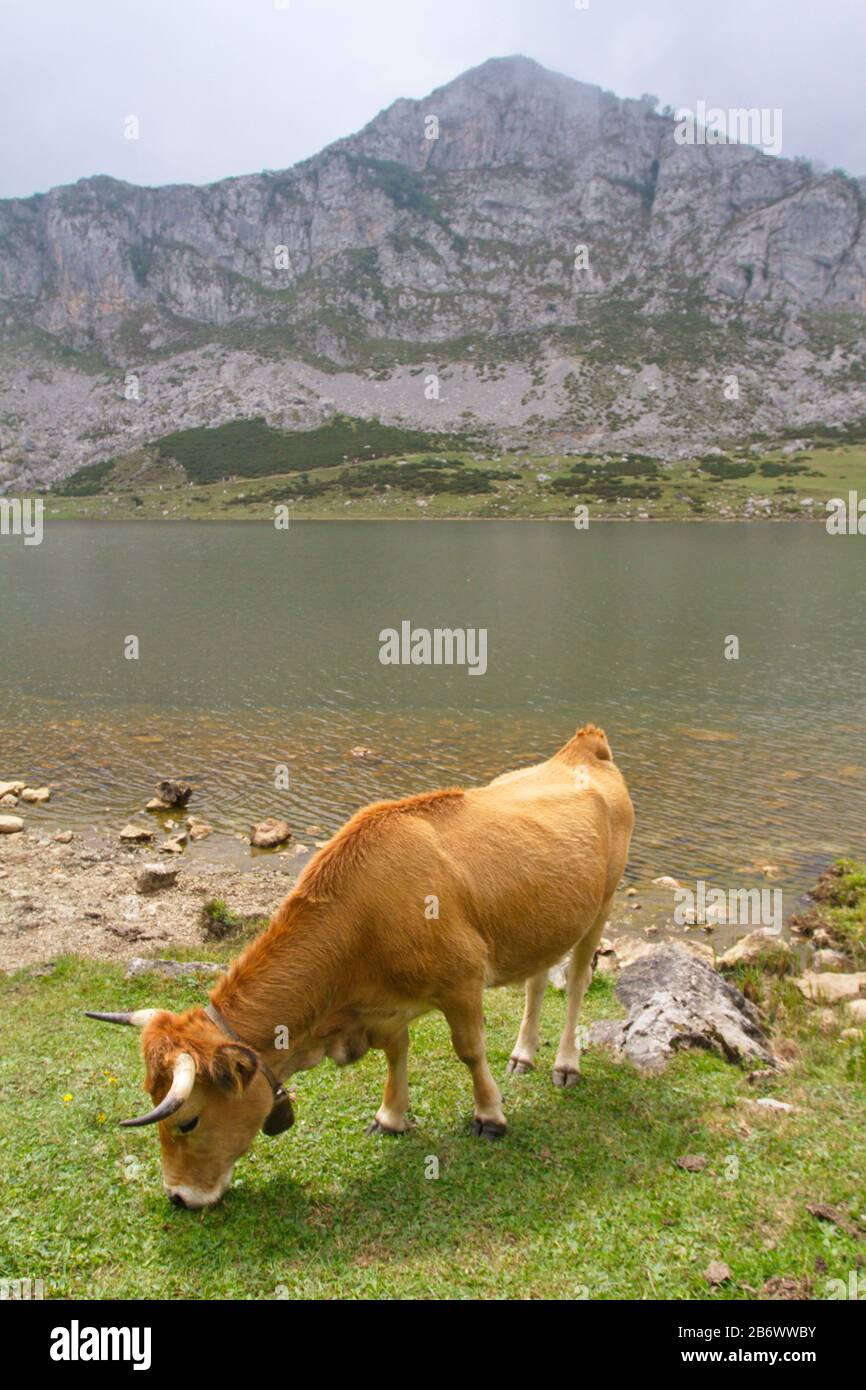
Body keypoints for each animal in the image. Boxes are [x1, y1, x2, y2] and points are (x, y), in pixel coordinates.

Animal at [88, 728, 633, 1206]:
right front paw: (391, 1115)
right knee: (538, 979)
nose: (178, 1197)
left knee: (577, 981)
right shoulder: (382, 1008)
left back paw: (565, 1064)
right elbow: (397, 1051)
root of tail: (582, 747)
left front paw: (490, 1116)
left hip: (602, 904)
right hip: (546, 919)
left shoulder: (462, 981)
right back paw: (523, 1055)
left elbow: (469, 1050)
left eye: (187, 1121)